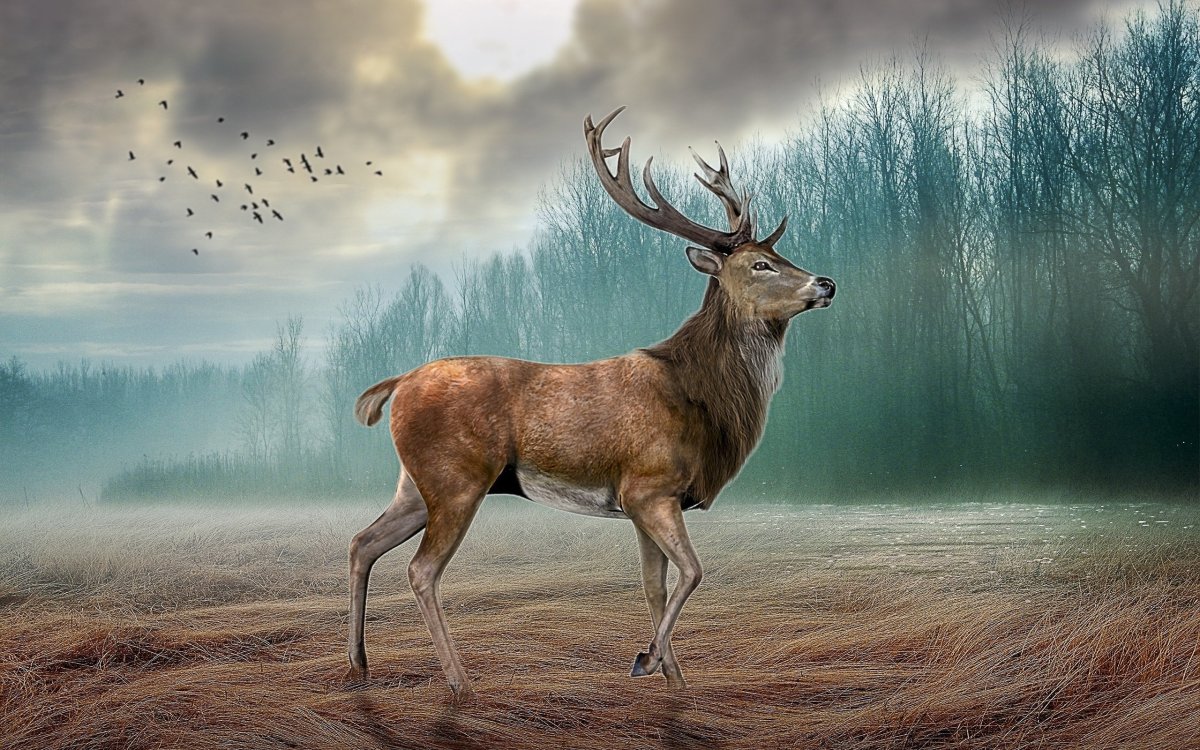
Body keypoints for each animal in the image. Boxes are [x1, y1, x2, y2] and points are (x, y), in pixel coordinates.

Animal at [345, 107, 835, 695]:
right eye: (760, 264)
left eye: (779, 253)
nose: (826, 283)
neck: (701, 400)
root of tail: (397, 384)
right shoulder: (649, 486)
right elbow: (693, 572)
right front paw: (647, 659)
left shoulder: (646, 503)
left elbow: (654, 585)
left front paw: (673, 678)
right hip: (455, 477)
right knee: (420, 570)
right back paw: (460, 683)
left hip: (416, 485)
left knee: (362, 542)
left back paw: (358, 664)